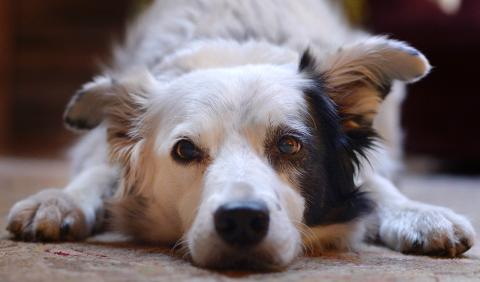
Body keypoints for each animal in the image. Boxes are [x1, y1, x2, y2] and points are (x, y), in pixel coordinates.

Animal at [5, 0, 474, 270]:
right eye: (185, 150)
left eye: (289, 144)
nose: (243, 220)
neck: (233, 52)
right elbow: (96, 173)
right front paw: (57, 200)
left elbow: (378, 185)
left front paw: (419, 213)